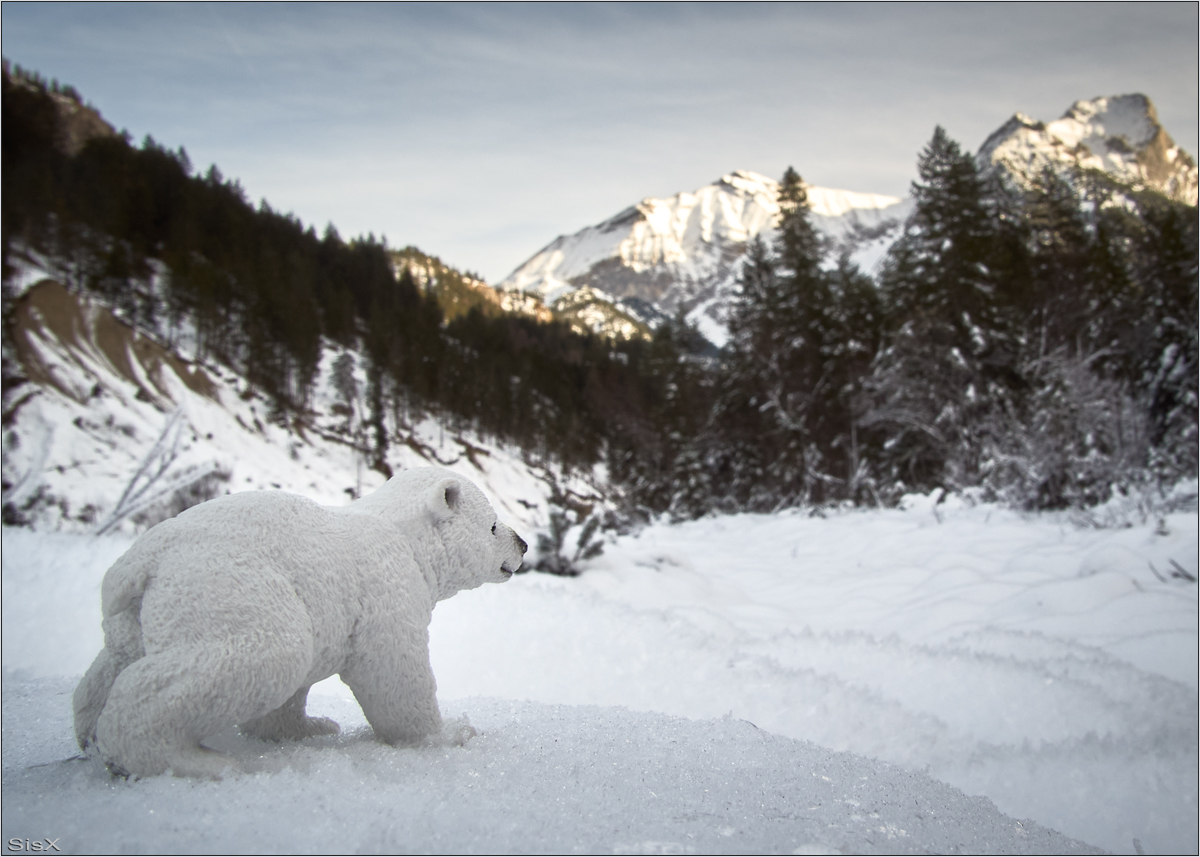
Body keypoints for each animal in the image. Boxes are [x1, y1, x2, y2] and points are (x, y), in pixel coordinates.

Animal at [71, 463, 525, 777]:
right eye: (492, 524)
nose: (522, 543)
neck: (405, 537)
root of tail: (144, 560)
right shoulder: (387, 589)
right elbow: (393, 671)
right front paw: (451, 732)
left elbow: (286, 705)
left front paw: (311, 727)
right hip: (230, 588)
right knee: (267, 653)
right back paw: (194, 762)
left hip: (135, 616)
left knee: (111, 664)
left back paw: (90, 737)